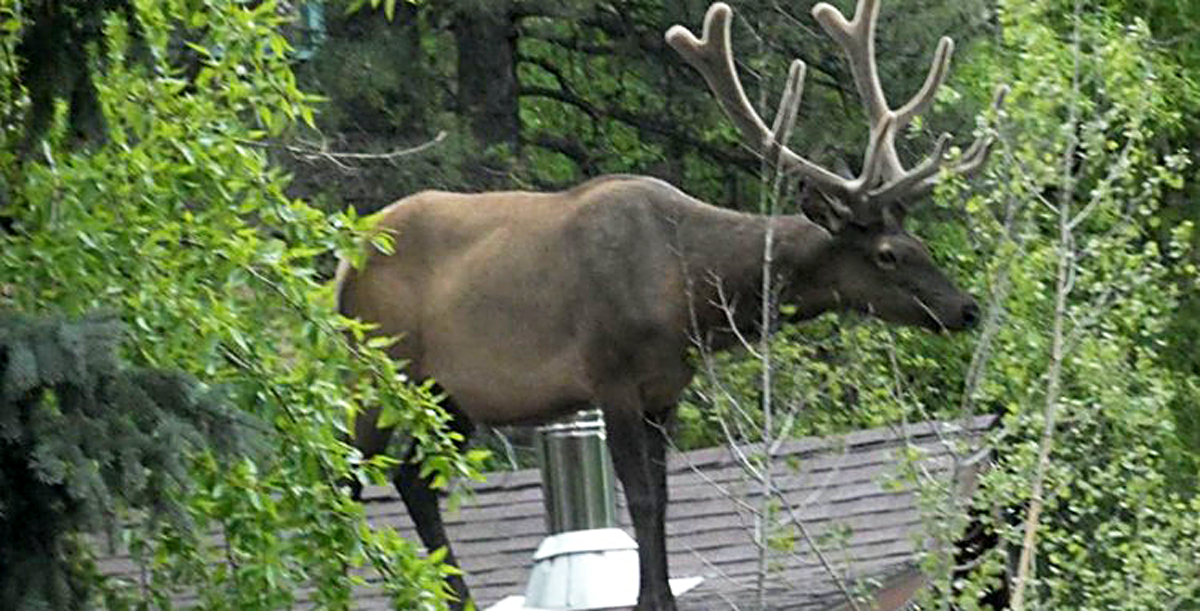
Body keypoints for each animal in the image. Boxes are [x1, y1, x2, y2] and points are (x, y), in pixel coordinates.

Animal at [335, 1, 1006, 609]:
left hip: (448, 394)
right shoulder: (609, 374)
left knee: (411, 477)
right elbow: (638, 495)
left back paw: (457, 597)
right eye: (888, 255)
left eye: (920, 244)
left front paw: (659, 596)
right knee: (347, 474)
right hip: (377, 366)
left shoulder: (666, 389)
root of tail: (344, 261)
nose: (967, 308)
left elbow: (661, 497)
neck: (690, 297)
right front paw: (649, 600)